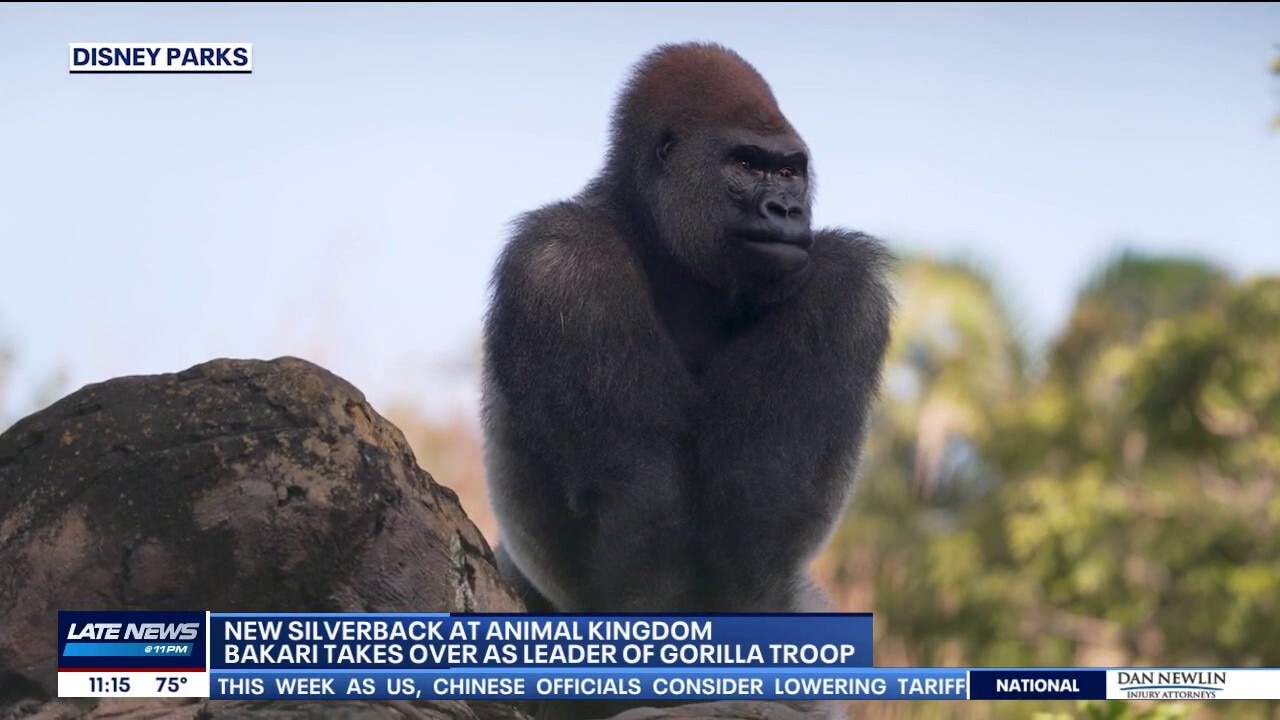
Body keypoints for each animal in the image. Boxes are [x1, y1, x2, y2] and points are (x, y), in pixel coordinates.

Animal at [480, 41, 892, 717]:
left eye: (789, 172)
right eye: (746, 164)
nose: (786, 209)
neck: (651, 228)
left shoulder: (842, 288)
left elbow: (763, 495)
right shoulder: (563, 263)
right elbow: (636, 490)